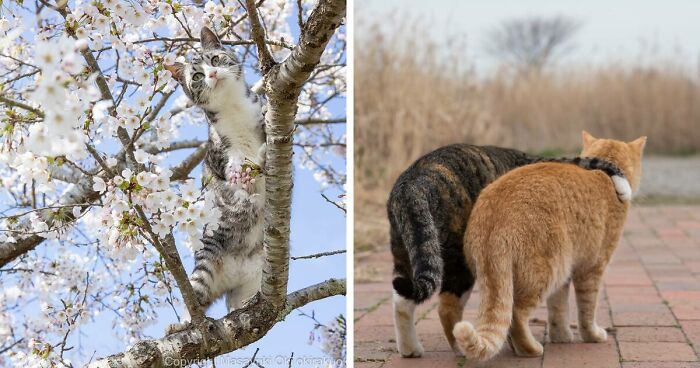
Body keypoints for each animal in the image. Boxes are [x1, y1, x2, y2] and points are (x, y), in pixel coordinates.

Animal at [163, 27, 266, 334]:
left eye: (216, 59)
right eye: (196, 76)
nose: (212, 74)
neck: (234, 108)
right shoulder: (218, 150)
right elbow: (231, 164)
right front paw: (238, 173)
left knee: (246, 303)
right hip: (206, 264)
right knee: (198, 301)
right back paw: (183, 324)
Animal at [454, 132, 644, 360]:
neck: (605, 175)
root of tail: (495, 219)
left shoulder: (565, 277)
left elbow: (558, 309)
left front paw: (561, 336)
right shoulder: (591, 269)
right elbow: (587, 309)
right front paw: (592, 335)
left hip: (533, 274)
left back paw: (516, 347)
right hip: (546, 272)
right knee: (516, 315)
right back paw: (530, 349)